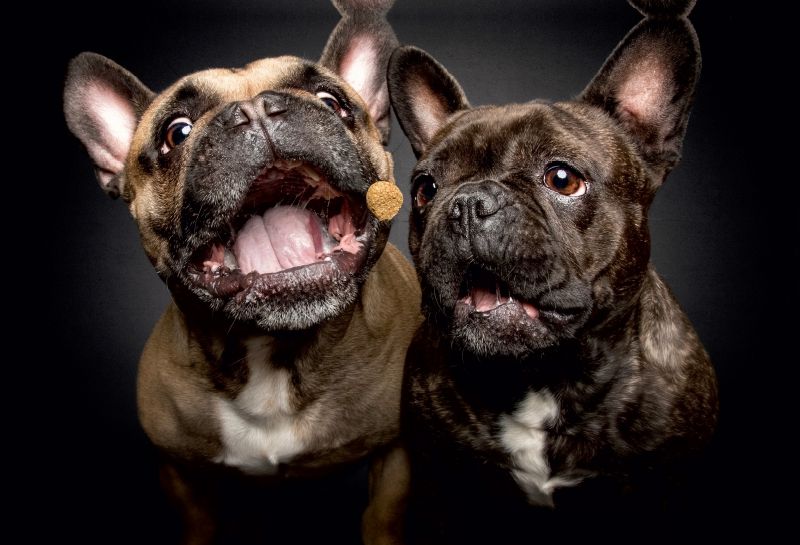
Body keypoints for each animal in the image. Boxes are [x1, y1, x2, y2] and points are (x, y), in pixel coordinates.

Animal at [64, 2, 418, 540]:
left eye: (332, 101)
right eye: (176, 133)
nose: (255, 110)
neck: (273, 350)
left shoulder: (395, 454)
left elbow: (381, 518)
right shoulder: (178, 469)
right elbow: (199, 522)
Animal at [388, 2, 720, 540]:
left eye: (562, 179)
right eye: (425, 189)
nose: (465, 203)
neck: (541, 376)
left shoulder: (667, 487)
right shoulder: (439, 485)